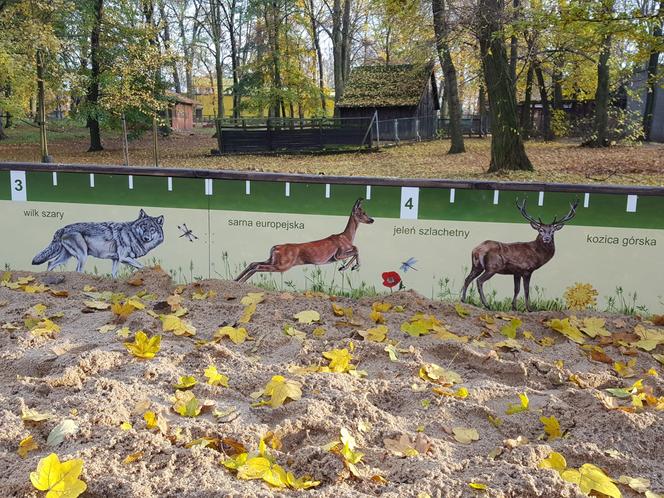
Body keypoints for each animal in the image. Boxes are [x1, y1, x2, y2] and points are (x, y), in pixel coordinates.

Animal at [32, 208, 165, 278]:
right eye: (144, 227)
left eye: (152, 229)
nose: (146, 238)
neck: (132, 235)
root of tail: (63, 228)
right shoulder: (123, 258)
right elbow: (142, 266)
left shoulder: (116, 259)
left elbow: (114, 274)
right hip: (83, 256)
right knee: (77, 270)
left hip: (67, 257)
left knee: (50, 263)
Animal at [235, 198, 374, 284]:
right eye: (363, 212)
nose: (372, 220)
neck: (346, 236)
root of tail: (275, 247)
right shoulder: (338, 254)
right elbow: (356, 249)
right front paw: (349, 267)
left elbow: (356, 249)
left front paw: (346, 267)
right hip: (283, 264)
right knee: (258, 266)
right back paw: (240, 282)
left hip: (273, 260)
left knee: (253, 263)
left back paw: (236, 281)